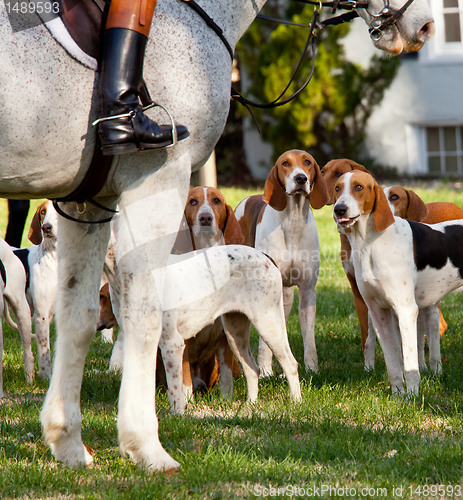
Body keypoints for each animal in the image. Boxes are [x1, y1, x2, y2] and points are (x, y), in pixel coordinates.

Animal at [0, 0, 436, 472]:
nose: (424, 26)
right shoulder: (147, 184)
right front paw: (137, 443)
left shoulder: (96, 205)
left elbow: (108, 333)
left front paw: (101, 442)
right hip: (240, 325)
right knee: (254, 367)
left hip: (259, 322)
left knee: (280, 363)